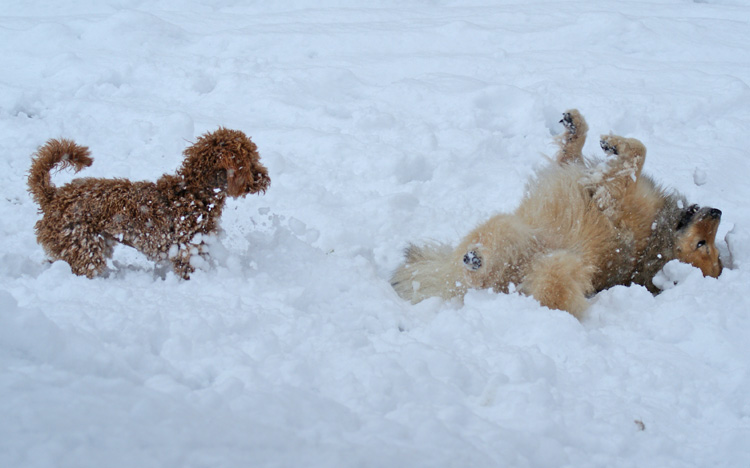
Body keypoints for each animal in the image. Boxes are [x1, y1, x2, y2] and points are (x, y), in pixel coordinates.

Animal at [28, 129, 270, 278]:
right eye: (250, 161)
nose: (265, 177)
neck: (196, 194)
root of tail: (53, 196)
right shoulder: (187, 252)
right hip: (83, 248)